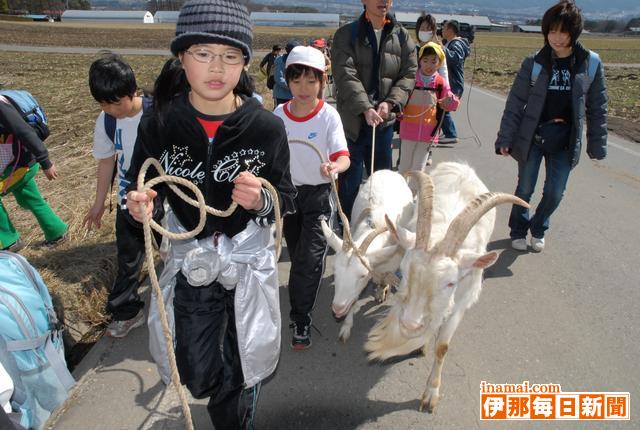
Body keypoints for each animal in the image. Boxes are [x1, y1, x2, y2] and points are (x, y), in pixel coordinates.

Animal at [322, 168, 412, 340]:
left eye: (363, 275)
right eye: (335, 270)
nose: (337, 308)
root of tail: (389, 171)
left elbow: (384, 278)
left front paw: (382, 290)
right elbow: (354, 297)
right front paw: (346, 327)